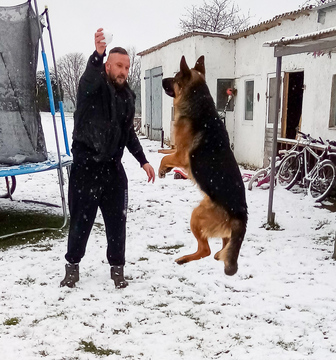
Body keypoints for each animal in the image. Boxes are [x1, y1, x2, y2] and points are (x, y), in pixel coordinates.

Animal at [158, 55, 247, 276]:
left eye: (175, 77)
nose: (162, 79)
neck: (199, 103)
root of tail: (241, 216)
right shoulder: (176, 152)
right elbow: (164, 155)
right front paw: (167, 169)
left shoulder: (180, 155)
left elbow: (164, 158)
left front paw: (162, 170)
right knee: (221, 248)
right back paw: (219, 254)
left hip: (196, 216)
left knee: (205, 250)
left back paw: (183, 259)